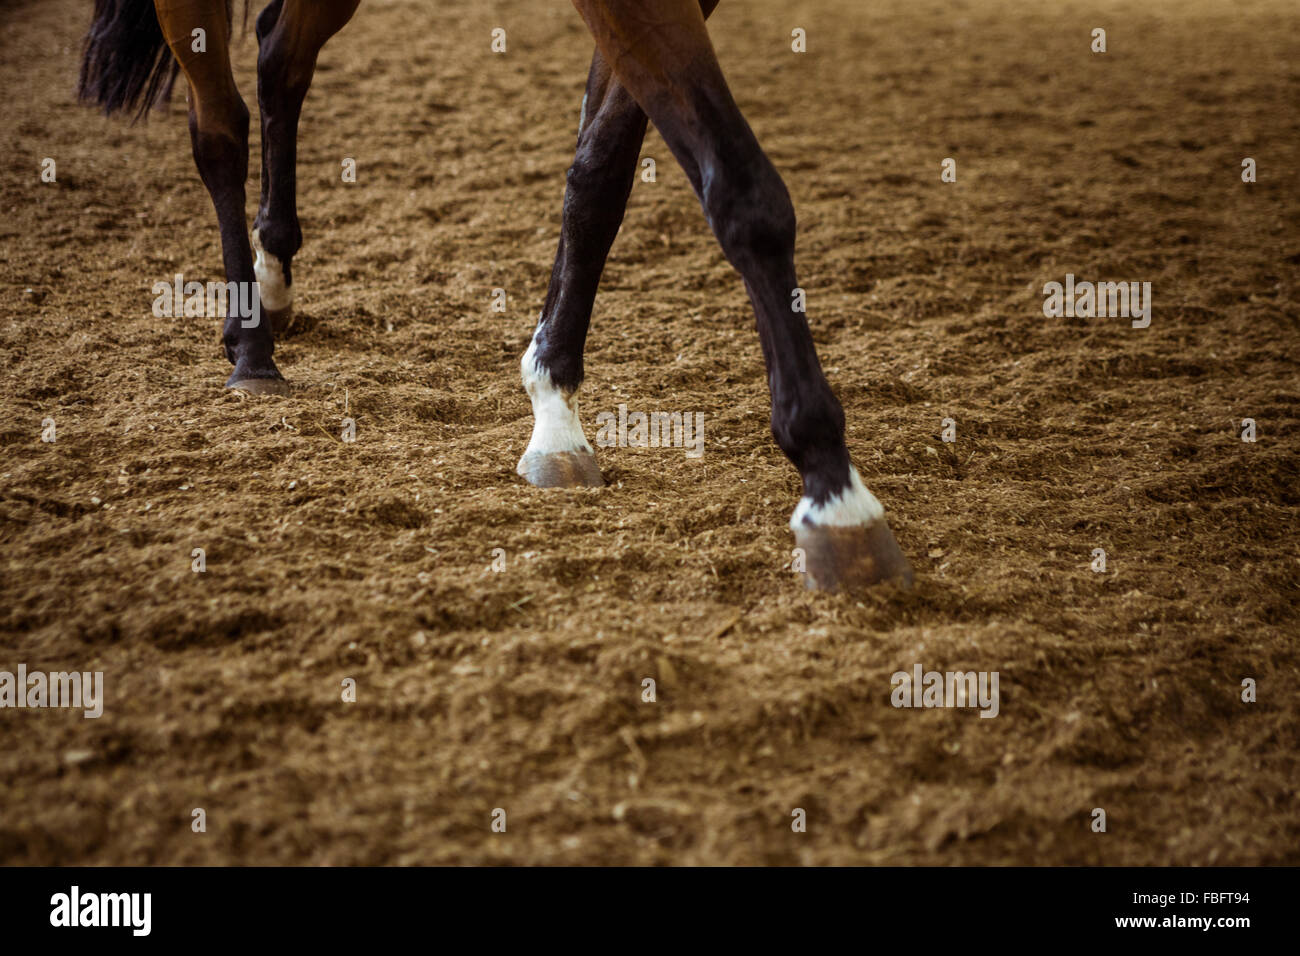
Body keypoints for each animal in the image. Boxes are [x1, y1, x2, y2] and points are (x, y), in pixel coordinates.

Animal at [78, 0, 913, 592]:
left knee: (281, 52)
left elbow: (601, 170)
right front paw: (833, 489)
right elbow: (744, 195)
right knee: (217, 126)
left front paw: (554, 405)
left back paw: (274, 275)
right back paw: (250, 344)